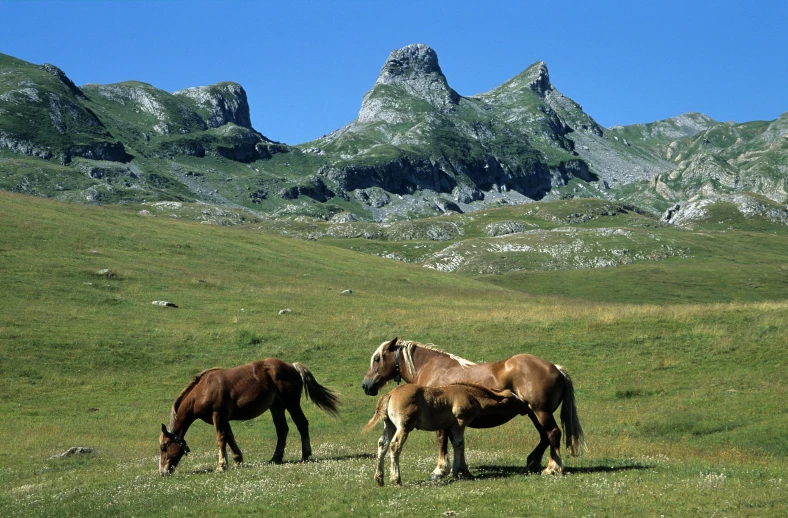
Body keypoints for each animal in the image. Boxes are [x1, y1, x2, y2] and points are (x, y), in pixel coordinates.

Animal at [364, 382, 528, 488]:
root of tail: (390, 393)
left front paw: (460, 471)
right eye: (514, 399)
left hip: (389, 424)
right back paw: (396, 480)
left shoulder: (450, 426)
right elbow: (459, 444)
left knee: (382, 444)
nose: (526, 404)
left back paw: (379, 479)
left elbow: (456, 444)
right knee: (395, 445)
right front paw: (456, 472)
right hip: (404, 426)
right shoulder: (459, 423)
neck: (470, 395)